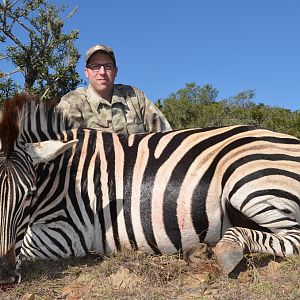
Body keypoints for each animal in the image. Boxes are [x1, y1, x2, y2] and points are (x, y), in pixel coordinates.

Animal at [0, 94, 298, 284]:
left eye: (29, 195)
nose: (5, 275)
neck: (62, 171)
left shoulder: (67, 232)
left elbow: (25, 247)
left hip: (249, 182)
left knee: (292, 239)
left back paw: (226, 250)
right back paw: (199, 251)